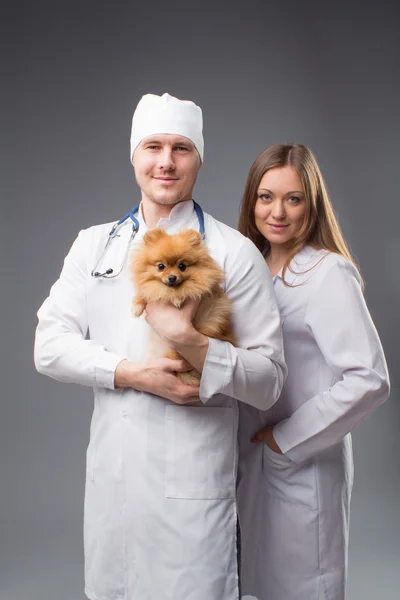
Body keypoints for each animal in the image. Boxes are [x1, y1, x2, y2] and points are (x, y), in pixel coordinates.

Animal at [131, 227, 234, 386]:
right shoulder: (152, 288)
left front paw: (178, 298)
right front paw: (136, 307)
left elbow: (184, 290)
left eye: (182, 266)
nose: (172, 278)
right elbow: (145, 292)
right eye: (161, 266)